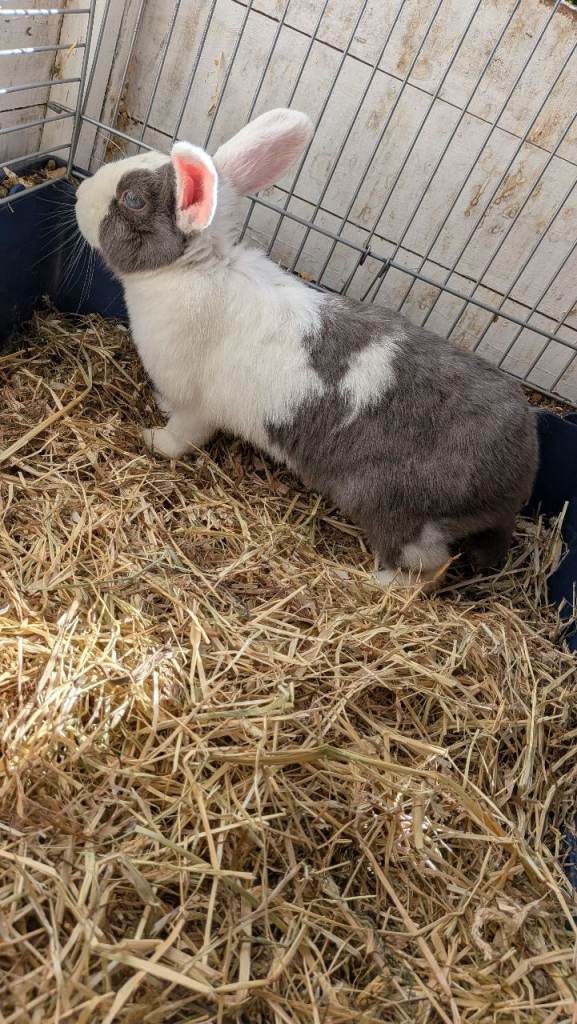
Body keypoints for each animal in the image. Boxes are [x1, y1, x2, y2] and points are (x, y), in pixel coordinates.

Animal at [75, 108, 538, 587]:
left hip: (400, 512)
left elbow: (180, 437)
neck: (194, 269)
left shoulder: (198, 409)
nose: (78, 194)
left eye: (132, 200)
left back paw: (376, 583)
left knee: (428, 567)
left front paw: (152, 439)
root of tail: (518, 476)